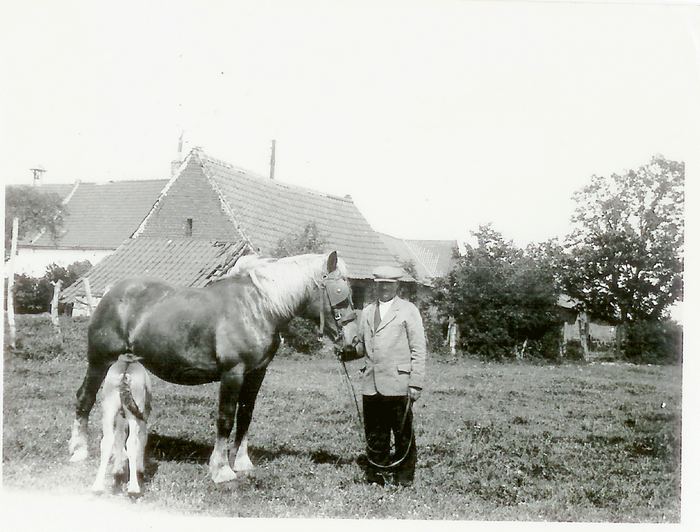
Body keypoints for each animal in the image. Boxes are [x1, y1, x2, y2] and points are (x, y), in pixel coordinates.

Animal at [91, 356, 151, 496]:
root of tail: (124, 374)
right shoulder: (143, 414)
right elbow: (143, 437)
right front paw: (140, 469)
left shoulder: (119, 416)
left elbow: (119, 436)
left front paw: (118, 469)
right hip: (133, 414)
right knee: (132, 442)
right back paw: (134, 488)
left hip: (109, 409)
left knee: (107, 441)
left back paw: (97, 486)